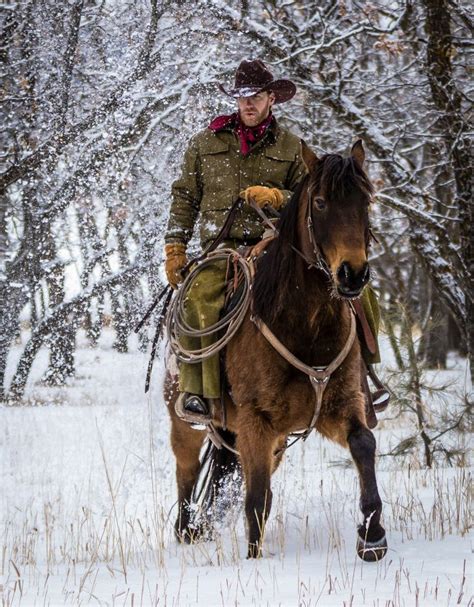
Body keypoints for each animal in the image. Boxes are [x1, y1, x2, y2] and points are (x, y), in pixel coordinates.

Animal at [165, 141, 386, 560]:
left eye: (366, 201)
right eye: (320, 202)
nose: (352, 274)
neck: (306, 326)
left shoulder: (339, 407)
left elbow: (364, 444)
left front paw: (372, 535)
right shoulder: (256, 422)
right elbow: (254, 499)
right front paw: (253, 560)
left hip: (277, 441)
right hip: (187, 423)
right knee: (187, 473)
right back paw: (186, 531)